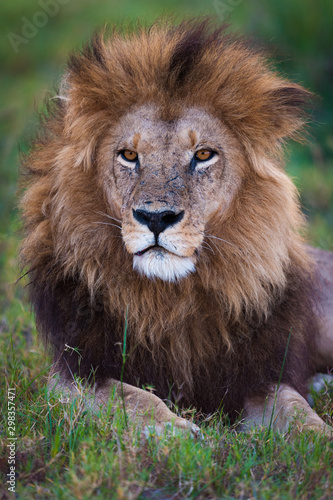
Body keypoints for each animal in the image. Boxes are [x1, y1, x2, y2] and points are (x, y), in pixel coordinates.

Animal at [20, 18, 332, 434]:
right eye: (129, 155)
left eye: (203, 155)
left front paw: (318, 438)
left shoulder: (259, 376)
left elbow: (297, 411)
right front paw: (181, 432)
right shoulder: (71, 375)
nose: (156, 218)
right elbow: (132, 398)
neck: (170, 299)